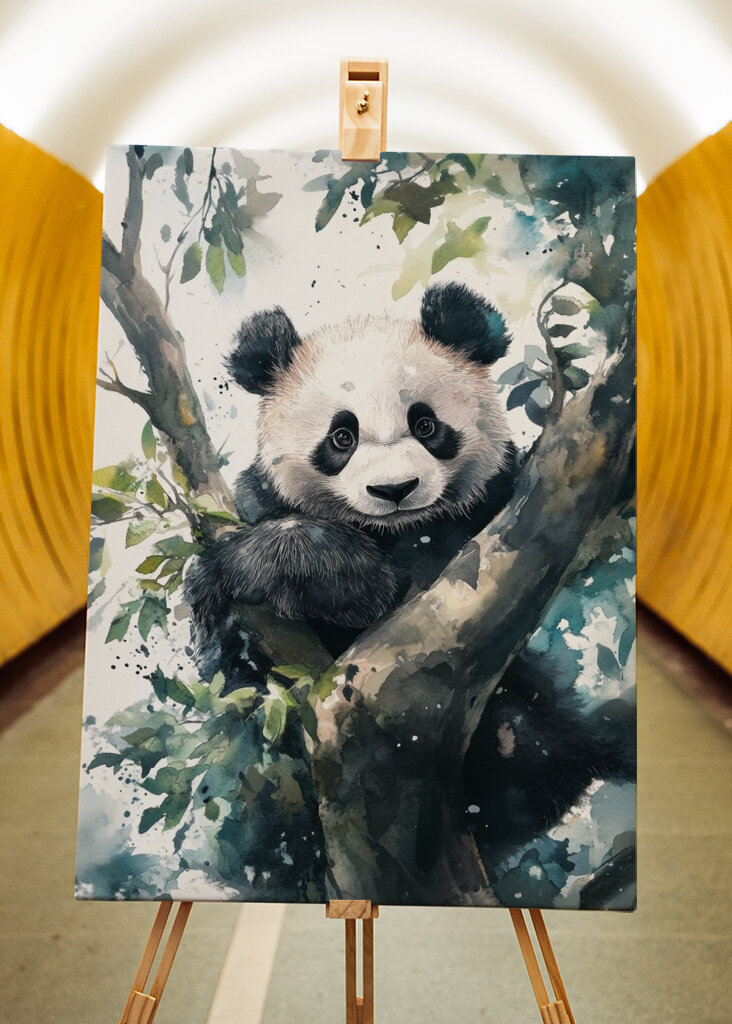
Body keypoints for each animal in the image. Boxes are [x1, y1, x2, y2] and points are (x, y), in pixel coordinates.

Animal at [184, 281, 635, 901]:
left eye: (425, 425)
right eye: (341, 437)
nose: (394, 489)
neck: (395, 531)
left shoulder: (494, 514)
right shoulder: (259, 508)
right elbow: (227, 648)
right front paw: (322, 573)